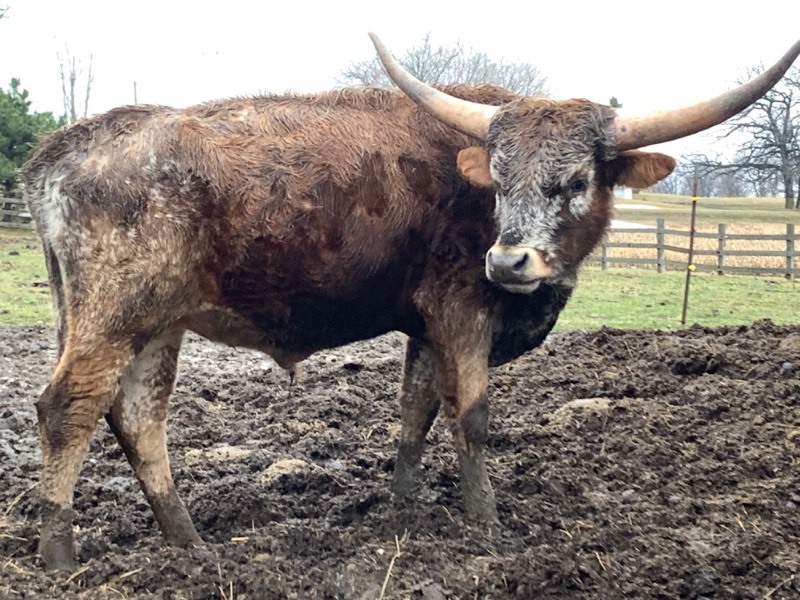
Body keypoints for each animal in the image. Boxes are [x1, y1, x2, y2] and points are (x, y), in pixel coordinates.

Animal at [22, 34, 800, 570]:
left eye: (577, 179)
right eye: (498, 176)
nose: (508, 260)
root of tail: (68, 146)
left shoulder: (427, 325)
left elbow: (416, 409)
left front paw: (405, 504)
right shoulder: (461, 310)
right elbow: (472, 416)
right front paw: (484, 521)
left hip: (155, 326)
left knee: (136, 418)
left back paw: (188, 542)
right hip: (111, 318)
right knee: (68, 410)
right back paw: (59, 553)